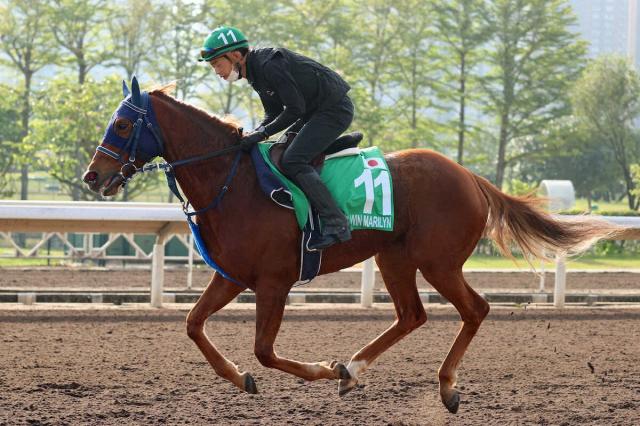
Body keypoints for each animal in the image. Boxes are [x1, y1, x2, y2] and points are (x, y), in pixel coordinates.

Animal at [84, 80, 616, 412]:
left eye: (124, 125)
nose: (93, 176)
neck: (233, 182)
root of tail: (470, 176)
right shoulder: (232, 275)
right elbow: (194, 325)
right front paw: (242, 378)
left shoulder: (275, 281)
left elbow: (264, 350)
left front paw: (321, 369)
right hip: (394, 257)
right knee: (412, 315)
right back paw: (355, 369)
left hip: (438, 261)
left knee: (475, 309)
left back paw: (442, 386)